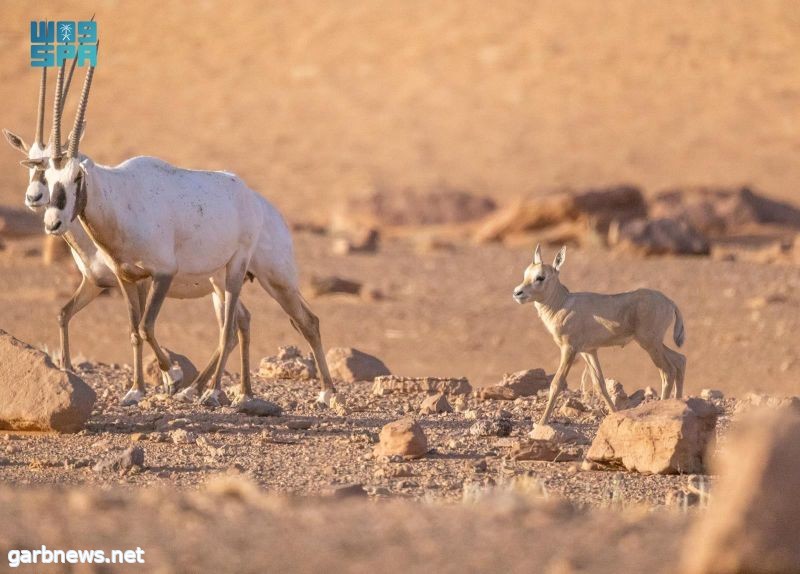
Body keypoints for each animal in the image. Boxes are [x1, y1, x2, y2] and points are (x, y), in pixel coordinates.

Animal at [516, 245, 684, 426]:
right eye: (526, 273)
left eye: (540, 277)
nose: (517, 293)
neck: (562, 304)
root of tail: (670, 302)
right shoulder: (588, 351)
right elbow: (600, 384)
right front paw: (614, 414)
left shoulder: (569, 349)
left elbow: (557, 383)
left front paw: (541, 422)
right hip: (655, 343)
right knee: (680, 360)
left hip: (650, 344)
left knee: (668, 371)